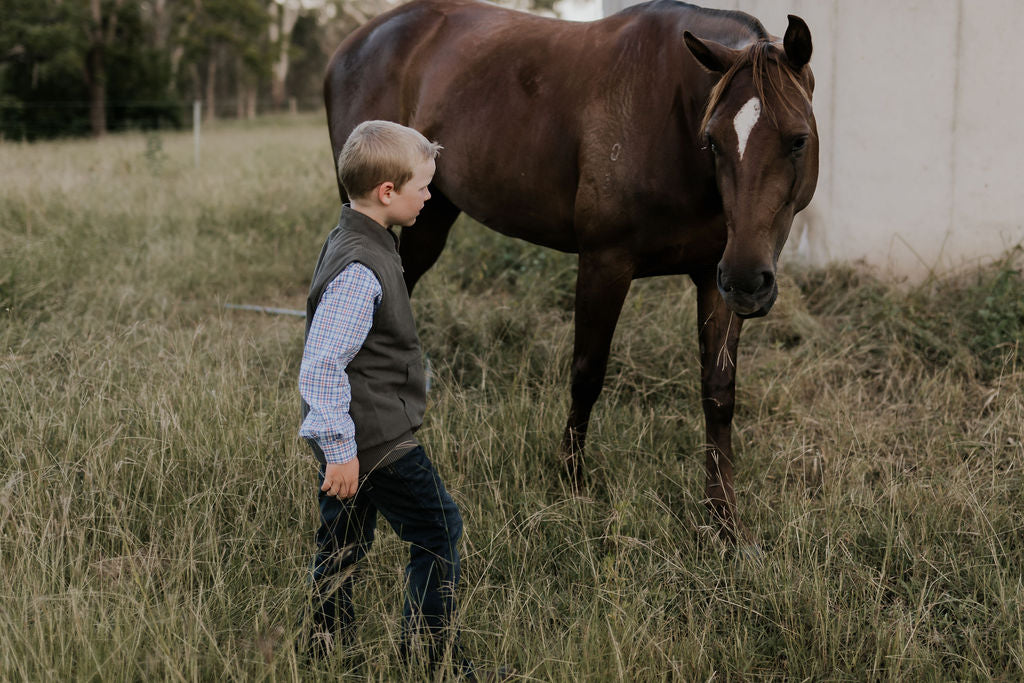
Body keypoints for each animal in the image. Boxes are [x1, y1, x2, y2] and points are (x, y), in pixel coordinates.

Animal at [323, 0, 819, 540]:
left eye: (798, 140)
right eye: (713, 141)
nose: (750, 282)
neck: (667, 114)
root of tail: (354, 43)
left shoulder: (713, 276)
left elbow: (719, 392)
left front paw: (723, 518)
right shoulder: (605, 262)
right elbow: (588, 373)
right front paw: (572, 482)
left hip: (430, 216)